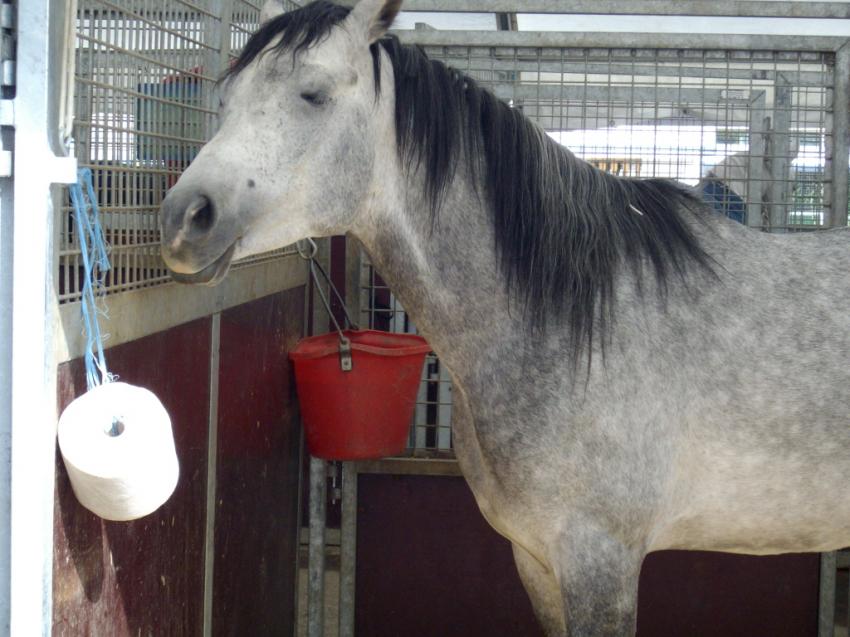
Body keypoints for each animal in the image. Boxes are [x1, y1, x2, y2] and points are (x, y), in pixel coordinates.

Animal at [159, 1, 850, 634]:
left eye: (314, 93)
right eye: (225, 101)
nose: (183, 218)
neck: (576, 328)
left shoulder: (601, 562)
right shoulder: (536, 558)